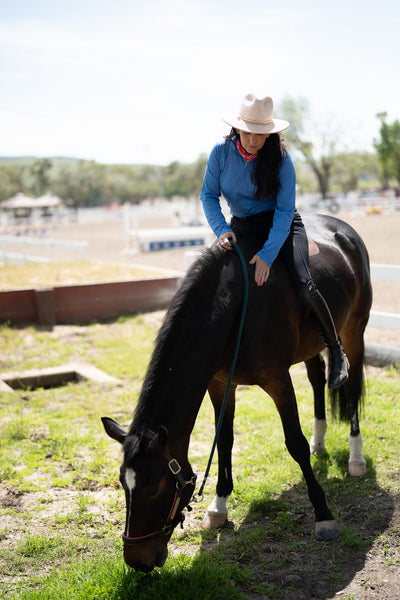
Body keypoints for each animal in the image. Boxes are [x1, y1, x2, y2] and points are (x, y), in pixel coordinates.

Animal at [102, 214, 372, 572]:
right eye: (123, 483)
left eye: (153, 487)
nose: (136, 561)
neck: (236, 307)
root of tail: (343, 229)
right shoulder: (219, 382)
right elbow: (225, 440)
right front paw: (218, 506)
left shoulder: (278, 380)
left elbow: (295, 444)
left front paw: (323, 515)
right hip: (311, 346)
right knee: (317, 380)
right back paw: (321, 441)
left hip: (353, 329)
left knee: (351, 387)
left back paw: (356, 457)